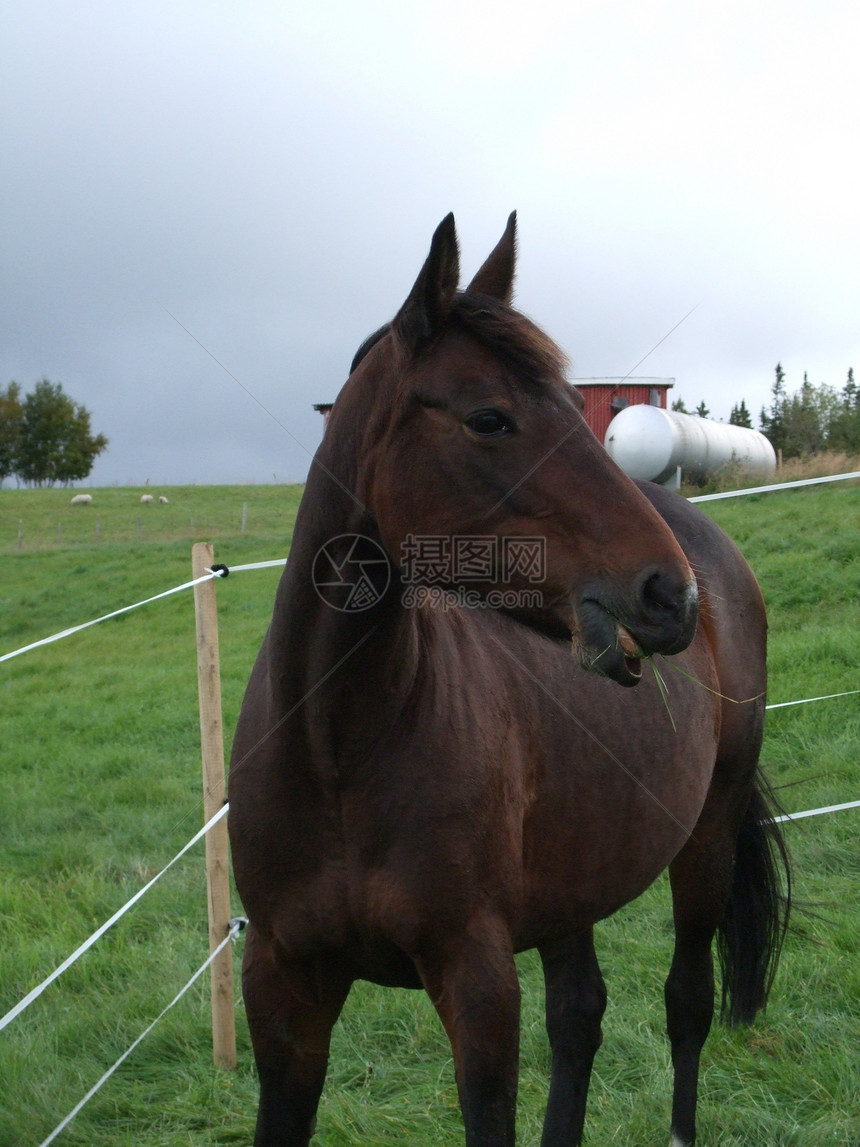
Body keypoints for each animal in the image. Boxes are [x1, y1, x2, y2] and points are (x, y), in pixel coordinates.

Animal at [227, 215, 788, 1147]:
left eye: (575, 404)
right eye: (490, 418)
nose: (668, 593)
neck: (339, 747)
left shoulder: (478, 985)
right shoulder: (282, 990)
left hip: (705, 835)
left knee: (686, 1002)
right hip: (574, 876)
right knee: (580, 1015)